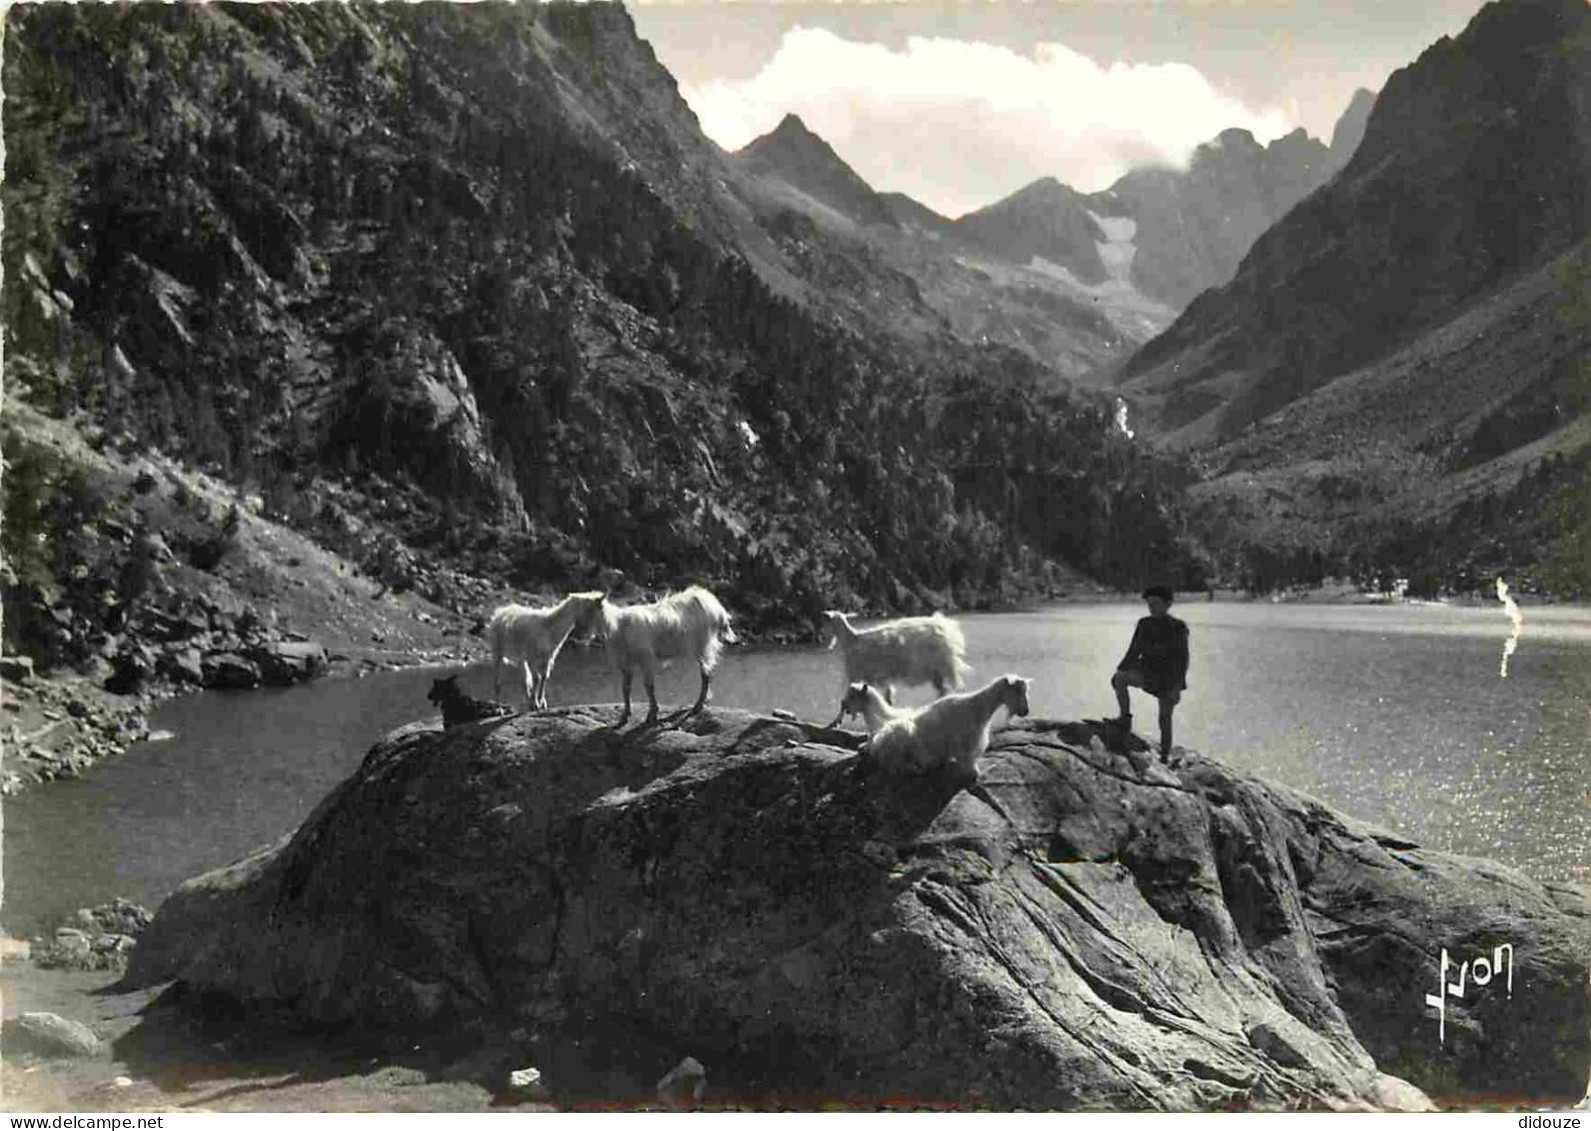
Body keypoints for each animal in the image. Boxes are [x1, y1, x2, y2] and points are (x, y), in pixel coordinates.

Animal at [601, 585, 738, 725]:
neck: (618, 625)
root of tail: (717, 608)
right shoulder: (625, 662)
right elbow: (626, 688)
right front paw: (625, 715)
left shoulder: (646, 658)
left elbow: (648, 686)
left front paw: (651, 714)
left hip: (702, 644)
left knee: (706, 673)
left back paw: (698, 706)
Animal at [820, 610, 967, 725]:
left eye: (826, 621)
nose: (820, 636)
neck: (852, 640)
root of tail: (946, 629)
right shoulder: (882, 679)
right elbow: (888, 699)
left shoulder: (854, 674)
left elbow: (844, 701)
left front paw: (835, 722)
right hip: (938, 672)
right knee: (944, 690)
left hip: (944, 666)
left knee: (954, 688)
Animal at [846, 671, 1030, 779]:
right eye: (1017, 690)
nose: (1025, 711)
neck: (977, 708)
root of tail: (878, 744)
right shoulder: (965, 744)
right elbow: (969, 763)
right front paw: (972, 773)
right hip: (903, 738)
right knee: (894, 766)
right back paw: (917, 768)